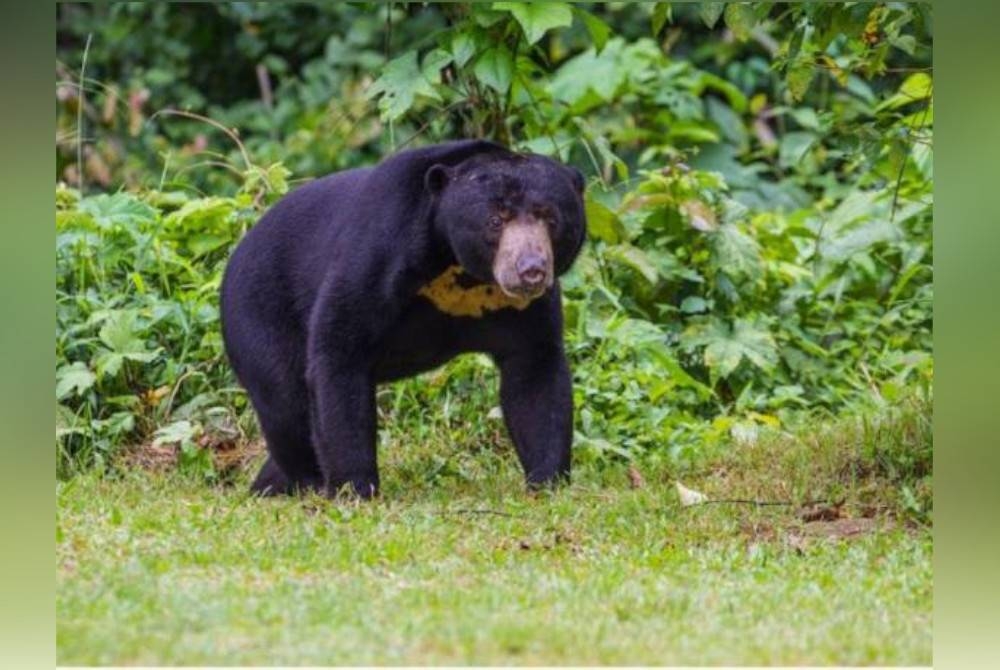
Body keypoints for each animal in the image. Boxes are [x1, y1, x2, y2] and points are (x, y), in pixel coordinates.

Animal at [221, 140, 584, 498]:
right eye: (496, 220)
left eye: (550, 219)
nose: (531, 270)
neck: (458, 268)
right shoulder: (382, 249)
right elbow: (340, 352)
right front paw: (355, 488)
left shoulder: (521, 307)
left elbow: (535, 372)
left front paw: (547, 482)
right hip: (259, 314)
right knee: (285, 404)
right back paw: (307, 484)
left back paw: (270, 485)